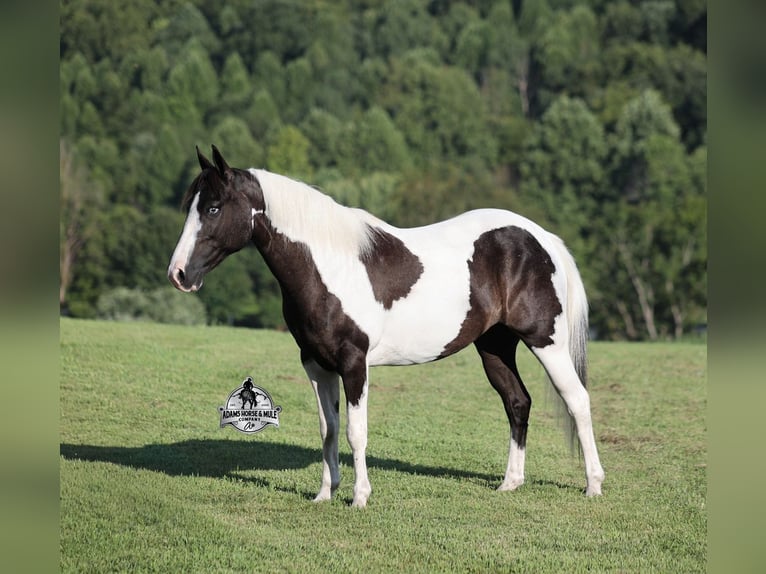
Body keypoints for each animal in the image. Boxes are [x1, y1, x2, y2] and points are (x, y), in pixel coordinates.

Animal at [168, 146, 605, 507]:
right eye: (192, 206)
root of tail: (541, 237)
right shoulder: (316, 364)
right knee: (517, 403)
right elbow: (328, 429)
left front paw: (360, 497)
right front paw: (325, 494)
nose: (179, 274)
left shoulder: (353, 363)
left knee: (578, 401)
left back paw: (593, 484)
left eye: (213, 208)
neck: (329, 265)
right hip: (494, 347)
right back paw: (510, 483)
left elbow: (355, 432)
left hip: (546, 342)